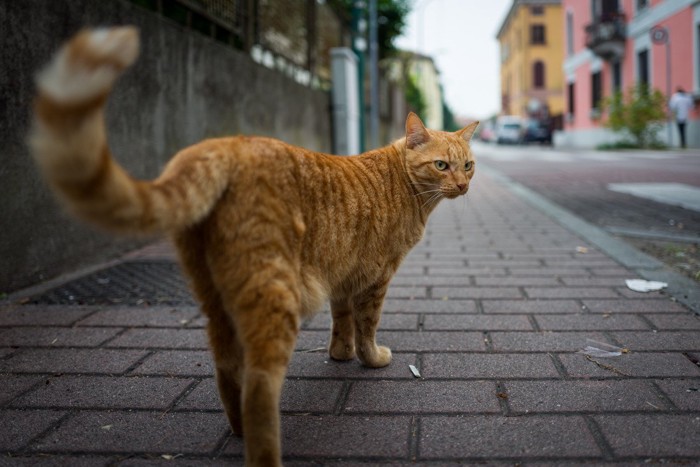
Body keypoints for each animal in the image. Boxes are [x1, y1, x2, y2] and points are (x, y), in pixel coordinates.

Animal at [32, 26, 478, 467]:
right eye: (442, 165)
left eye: (468, 165)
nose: (463, 185)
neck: (405, 186)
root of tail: (228, 143)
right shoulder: (375, 277)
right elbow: (367, 324)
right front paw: (370, 358)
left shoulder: (341, 275)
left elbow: (341, 320)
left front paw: (340, 353)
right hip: (274, 295)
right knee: (260, 384)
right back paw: (264, 449)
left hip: (214, 297)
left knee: (227, 370)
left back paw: (238, 429)